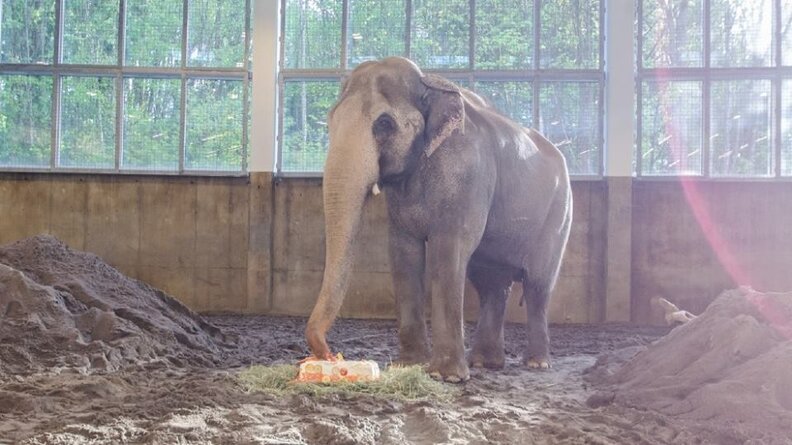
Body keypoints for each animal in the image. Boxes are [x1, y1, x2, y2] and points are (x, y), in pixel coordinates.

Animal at [304, 56, 572, 383]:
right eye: (331, 120)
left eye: (384, 123)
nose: (327, 353)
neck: (429, 85)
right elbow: (403, 252)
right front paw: (409, 365)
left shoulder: (467, 173)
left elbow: (450, 249)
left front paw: (448, 376)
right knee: (492, 284)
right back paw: (484, 363)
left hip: (559, 214)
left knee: (537, 285)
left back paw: (536, 363)